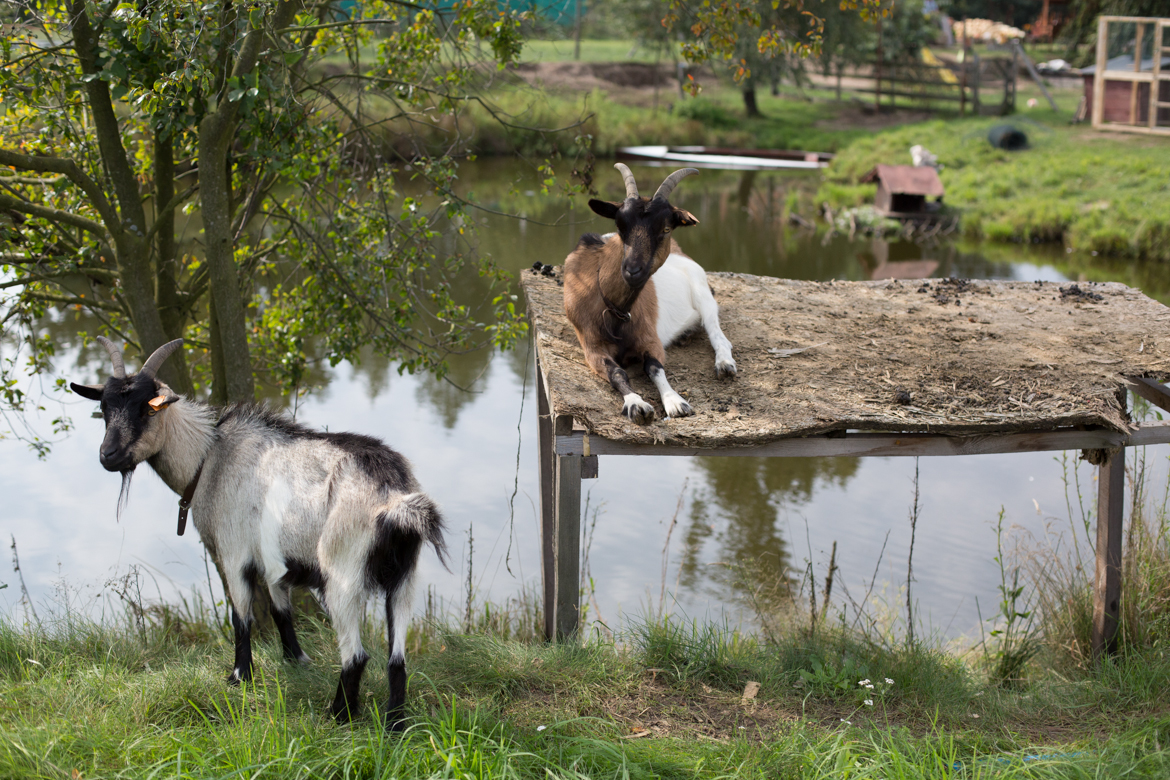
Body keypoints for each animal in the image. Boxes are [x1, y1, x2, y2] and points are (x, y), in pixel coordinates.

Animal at [69, 336, 442, 734]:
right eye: (105, 408)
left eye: (146, 410)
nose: (108, 456)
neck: (209, 458)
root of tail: (396, 500)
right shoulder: (272, 558)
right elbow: (281, 610)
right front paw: (295, 659)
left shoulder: (233, 553)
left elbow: (241, 617)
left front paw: (239, 677)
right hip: (404, 578)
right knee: (397, 659)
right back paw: (395, 725)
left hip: (343, 572)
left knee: (356, 656)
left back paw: (338, 716)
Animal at [561, 161, 734, 423]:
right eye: (620, 226)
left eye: (665, 228)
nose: (632, 270)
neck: (613, 309)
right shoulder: (591, 346)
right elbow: (617, 372)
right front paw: (636, 403)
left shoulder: (650, 338)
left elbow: (654, 367)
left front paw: (675, 401)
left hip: (702, 292)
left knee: (717, 333)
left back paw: (724, 364)